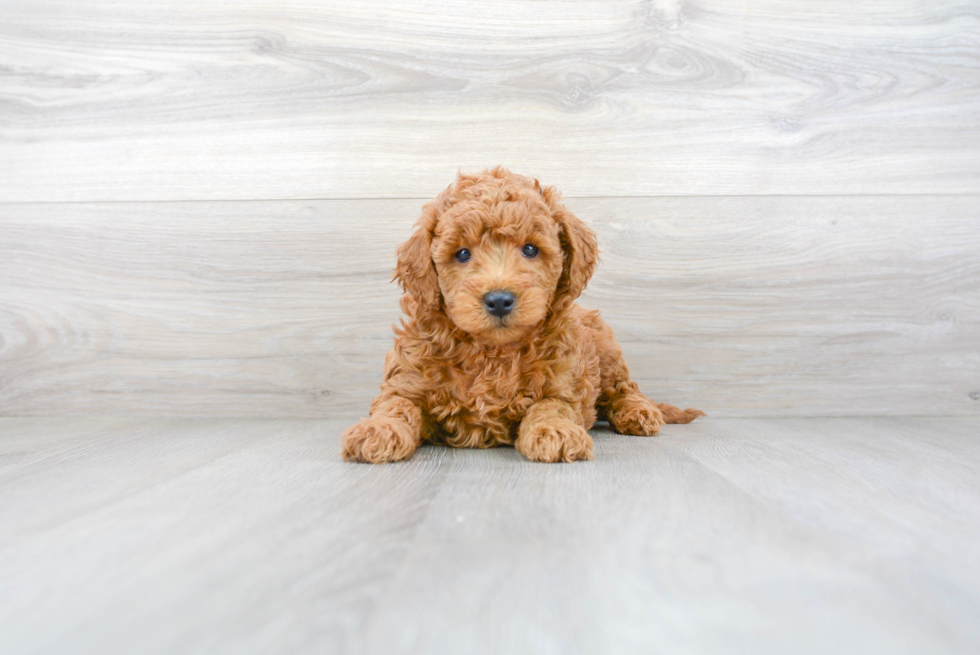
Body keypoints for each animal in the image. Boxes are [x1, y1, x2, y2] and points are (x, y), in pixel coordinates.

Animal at [340, 167, 700, 464]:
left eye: (530, 249)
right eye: (462, 253)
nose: (499, 300)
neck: (492, 351)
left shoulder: (565, 380)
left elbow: (551, 405)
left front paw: (554, 431)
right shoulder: (407, 378)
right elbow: (397, 405)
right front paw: (378, 430)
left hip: (607, 353)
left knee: (625, 389)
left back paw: (638, 412)